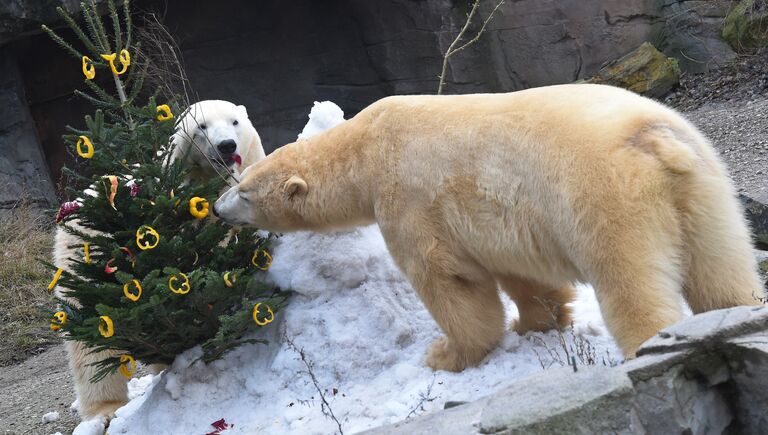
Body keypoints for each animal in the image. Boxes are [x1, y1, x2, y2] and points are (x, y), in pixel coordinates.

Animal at [52, 99, 266, 422]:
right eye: (201, 126)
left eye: (235, 122)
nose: (226, 146)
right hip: (84, 257)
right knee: (92, 343)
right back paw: (106, 408)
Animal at [214, 84, 760, 372]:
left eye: (246, 192)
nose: (217, 209)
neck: (364, 149)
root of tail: (653, 143)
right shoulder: (499, 220)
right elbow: (522, 274)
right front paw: (536, 323)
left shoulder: (408, 200)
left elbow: (450, 281)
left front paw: (445, 354)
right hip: (706, 189)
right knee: (722, 272)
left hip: (604, 201)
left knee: (631, 283)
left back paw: (650, 350)